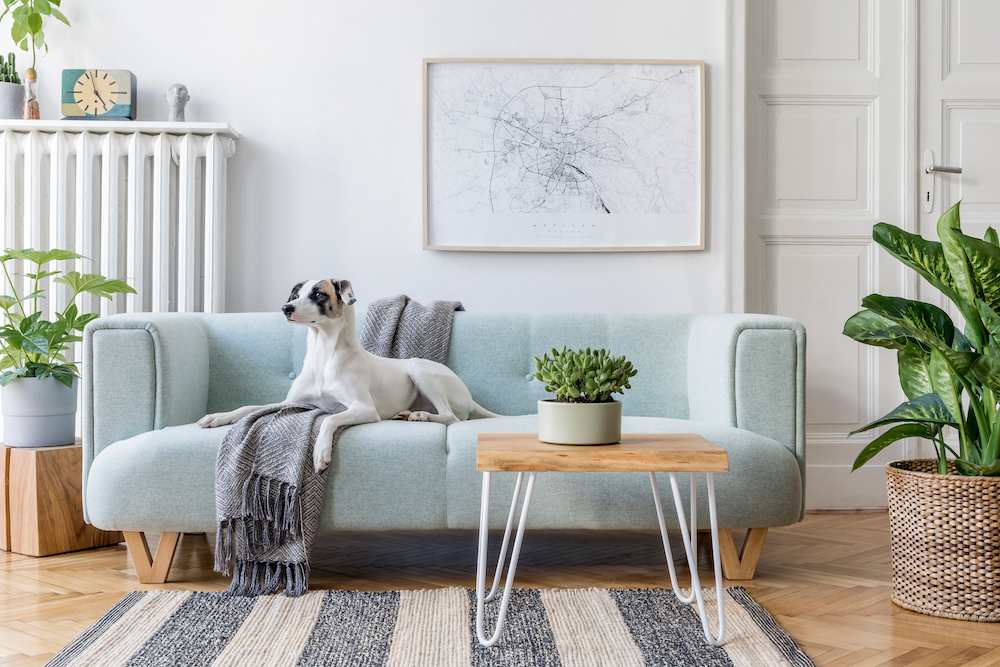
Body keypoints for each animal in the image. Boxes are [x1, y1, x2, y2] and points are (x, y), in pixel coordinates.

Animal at [197, 280, 498, 472]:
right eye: (296, 293)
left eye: (318, 294)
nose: (286, 308)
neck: (324, 354)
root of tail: (469, 397)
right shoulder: (291, 403)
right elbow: (249, 407)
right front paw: (217, 417)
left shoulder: (363, 409)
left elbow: (329, 420)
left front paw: (320, 452)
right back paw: (408, 413)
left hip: (419, 369)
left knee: (450, 417)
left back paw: (420, 415)